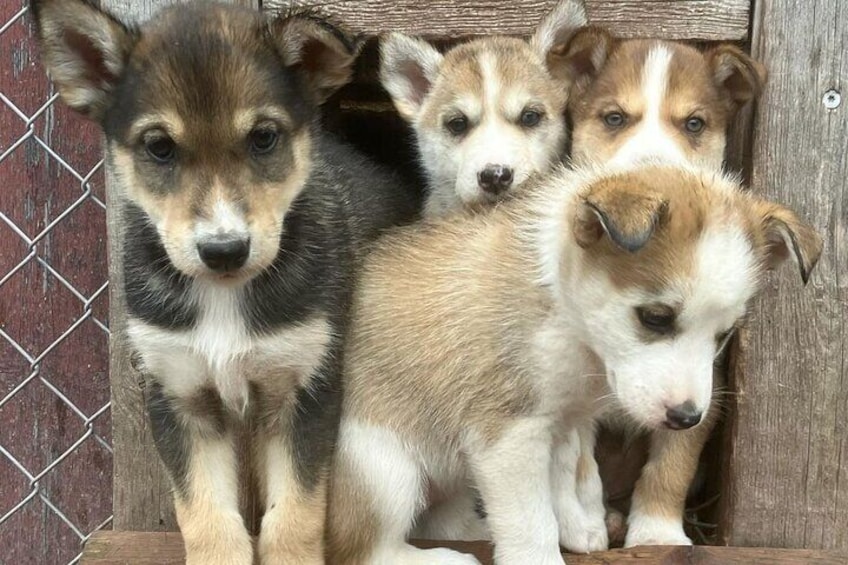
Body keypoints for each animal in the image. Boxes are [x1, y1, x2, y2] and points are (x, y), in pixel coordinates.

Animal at [32, 1, 418, 564]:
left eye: (263, 138)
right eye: (159, 147)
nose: (223, 251)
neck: (224, 295)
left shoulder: (303, 391)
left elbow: (294, 519)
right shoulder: (181, 397)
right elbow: (207, 520)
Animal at [564, 27, 768, 548]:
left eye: (694, 124)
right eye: (614, 118)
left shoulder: (703, 389)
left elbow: (670, 466)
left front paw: (656, 536)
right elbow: (582, 464)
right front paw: (588, 524)